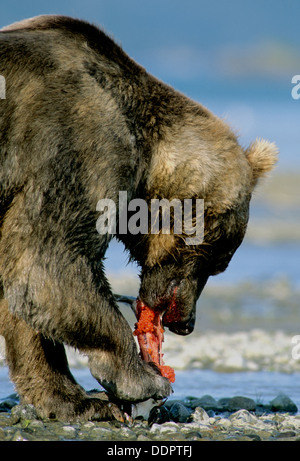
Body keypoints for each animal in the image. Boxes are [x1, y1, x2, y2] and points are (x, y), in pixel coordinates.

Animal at [0, 15, 276, 420]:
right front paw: (140, 379)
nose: (186, 323)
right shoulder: (78, 144)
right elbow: (48, 263)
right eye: (218, 262)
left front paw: (72, 398)